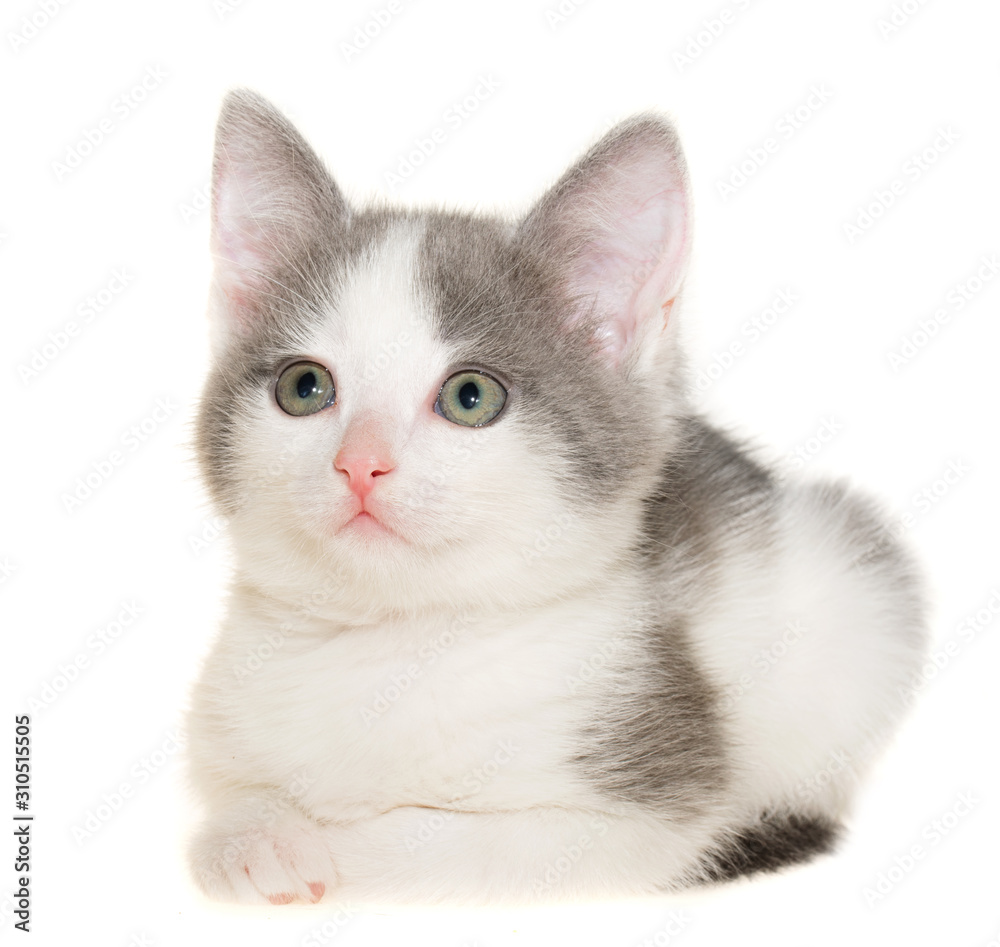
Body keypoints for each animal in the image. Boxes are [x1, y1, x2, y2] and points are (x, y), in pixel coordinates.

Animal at [186, 90, 920, 912]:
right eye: (304, 387)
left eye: (471, 397)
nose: (360, 463)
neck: (394, 643)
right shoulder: (218, 723)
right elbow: (227, 800)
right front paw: (252, 838)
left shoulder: (646, 799)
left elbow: (443, 841)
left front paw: (331, 846)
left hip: (860, 593)